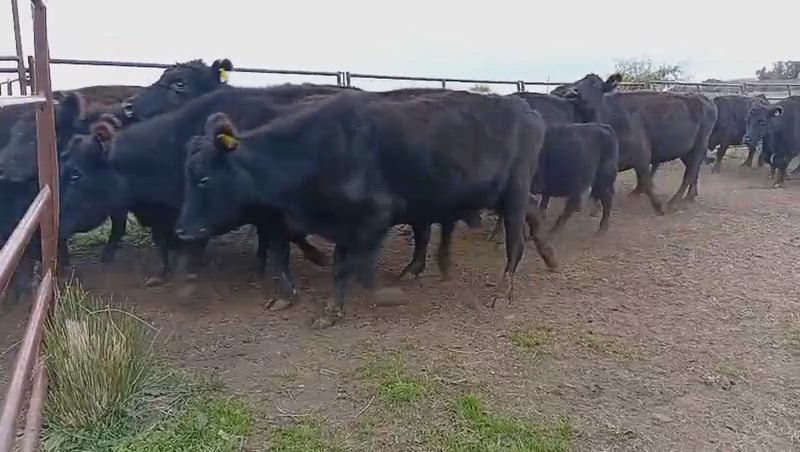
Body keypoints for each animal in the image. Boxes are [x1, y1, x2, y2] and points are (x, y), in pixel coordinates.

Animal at [175, 89, 557, 329]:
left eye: (205, 178)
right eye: (187, 175)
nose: (182, 230)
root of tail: (526, 109)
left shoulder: (373, 217)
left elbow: (349, 267)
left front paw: (349, 306)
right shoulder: (334, 225)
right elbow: (334, 263)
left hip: (514, 193)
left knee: (515, 242)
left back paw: (503, 291)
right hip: (509, 194)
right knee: (535, 216)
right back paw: (550, 257)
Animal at [563, 73, 717, 213]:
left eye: (594, 84)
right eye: (577, 82)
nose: (573, 91)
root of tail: (704, 98)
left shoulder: (642, 153)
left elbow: (646, 179)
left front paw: (658, 206)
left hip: (700, 144)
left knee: (690, 173)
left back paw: (673, 202)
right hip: (686, 150)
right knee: (694, 169)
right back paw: (690, 196)